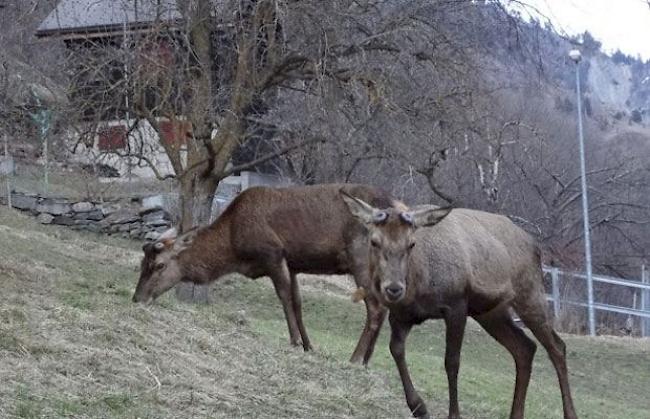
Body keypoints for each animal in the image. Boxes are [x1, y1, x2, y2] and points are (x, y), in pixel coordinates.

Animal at [132, 184, 402, 364]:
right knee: (383, 306)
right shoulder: (292, 263)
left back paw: (356, 357)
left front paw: (295, 342)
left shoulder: (272, 253)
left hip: (361, 257)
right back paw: (366, 360)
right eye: (143, 264)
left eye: (159, 265)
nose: (137, 298)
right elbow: (297, 303)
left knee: (376, 307)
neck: (234, 249)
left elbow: (284, 298)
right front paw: (308, 345)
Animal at [342, 191, 576, 419]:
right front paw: (419, 407)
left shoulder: (456, 305)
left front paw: (454, 413)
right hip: (491, 312)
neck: (420, 285)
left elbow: (452, 361)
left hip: (530, 294)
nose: (394, 288)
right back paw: (516, 413)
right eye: (374, 241)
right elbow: (396, 350)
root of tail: (536, 246)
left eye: (411, 243)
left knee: (557, 346)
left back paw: (570, 412)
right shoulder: (400, 315)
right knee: (525, 347)